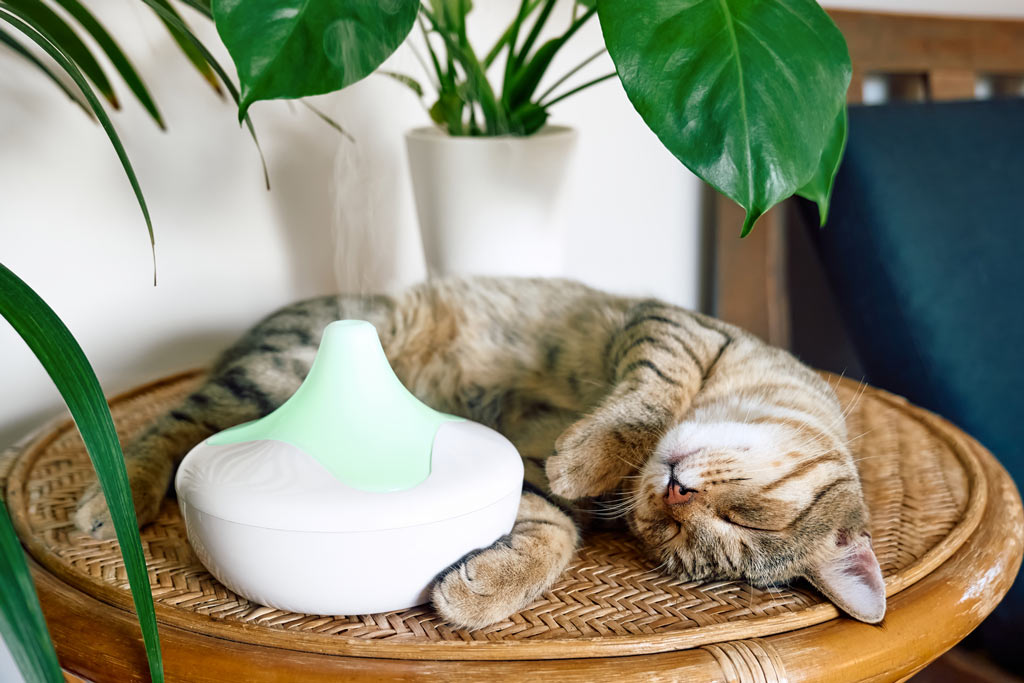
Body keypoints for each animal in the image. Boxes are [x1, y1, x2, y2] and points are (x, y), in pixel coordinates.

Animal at [74, 276, 888, 626]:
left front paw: (484, 587)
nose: (673, 495)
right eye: (748, 518)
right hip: (285, 362)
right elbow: (651, 398)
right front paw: (595, 452)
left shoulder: (532, 477)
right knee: (168, 426)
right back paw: (112, 500)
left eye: (672, 538)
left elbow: (550, 534)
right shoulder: (670, 327)